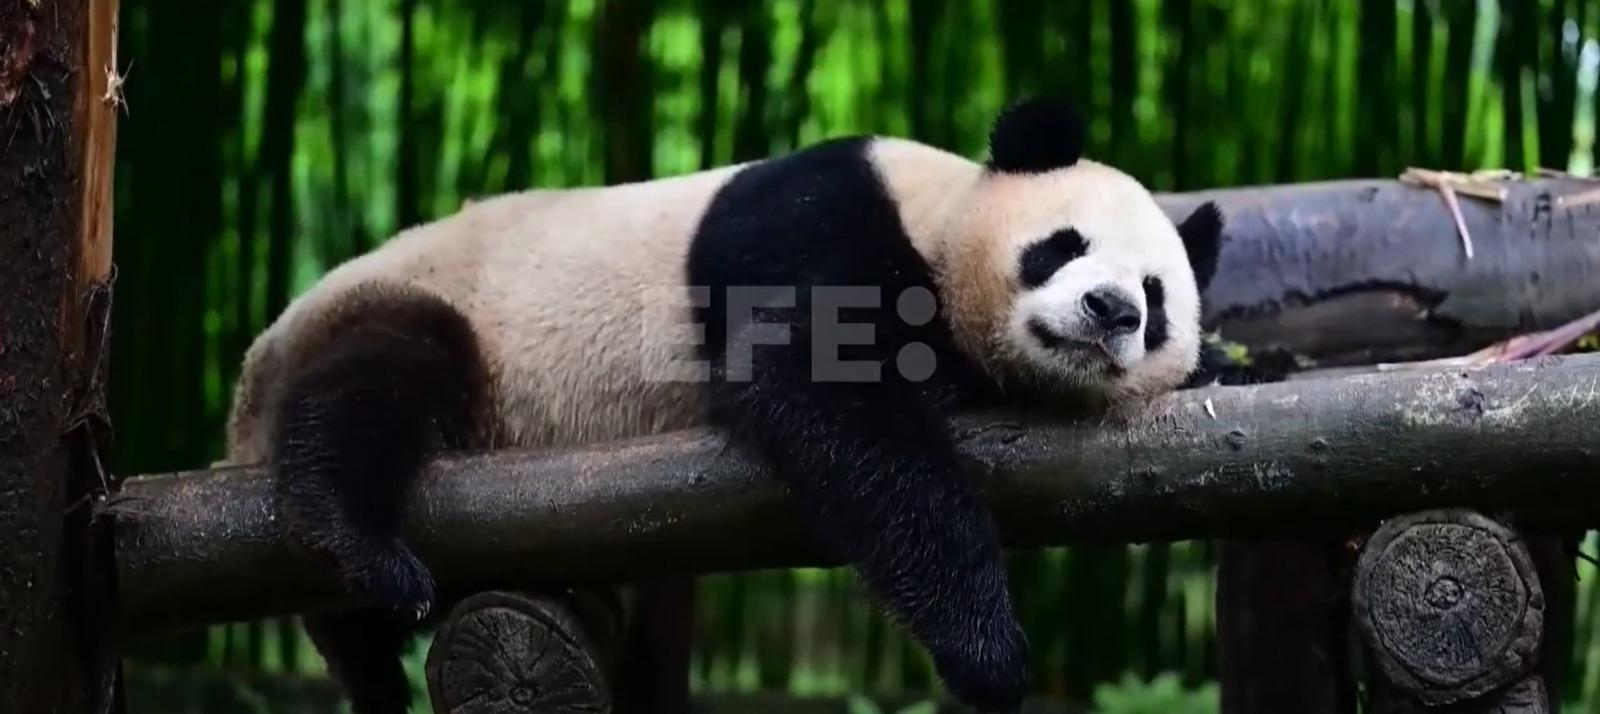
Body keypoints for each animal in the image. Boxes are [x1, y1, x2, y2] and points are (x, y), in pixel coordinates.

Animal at [222, 98, 1223, 713]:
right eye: (1063, 245)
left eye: (1156, 297)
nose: (1112, 311)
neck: (934, 212)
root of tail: (247, 388)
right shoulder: (815, 218)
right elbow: (824, 390)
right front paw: (987, 651)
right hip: (430, 314)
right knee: (375, 384)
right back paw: (361, 547)